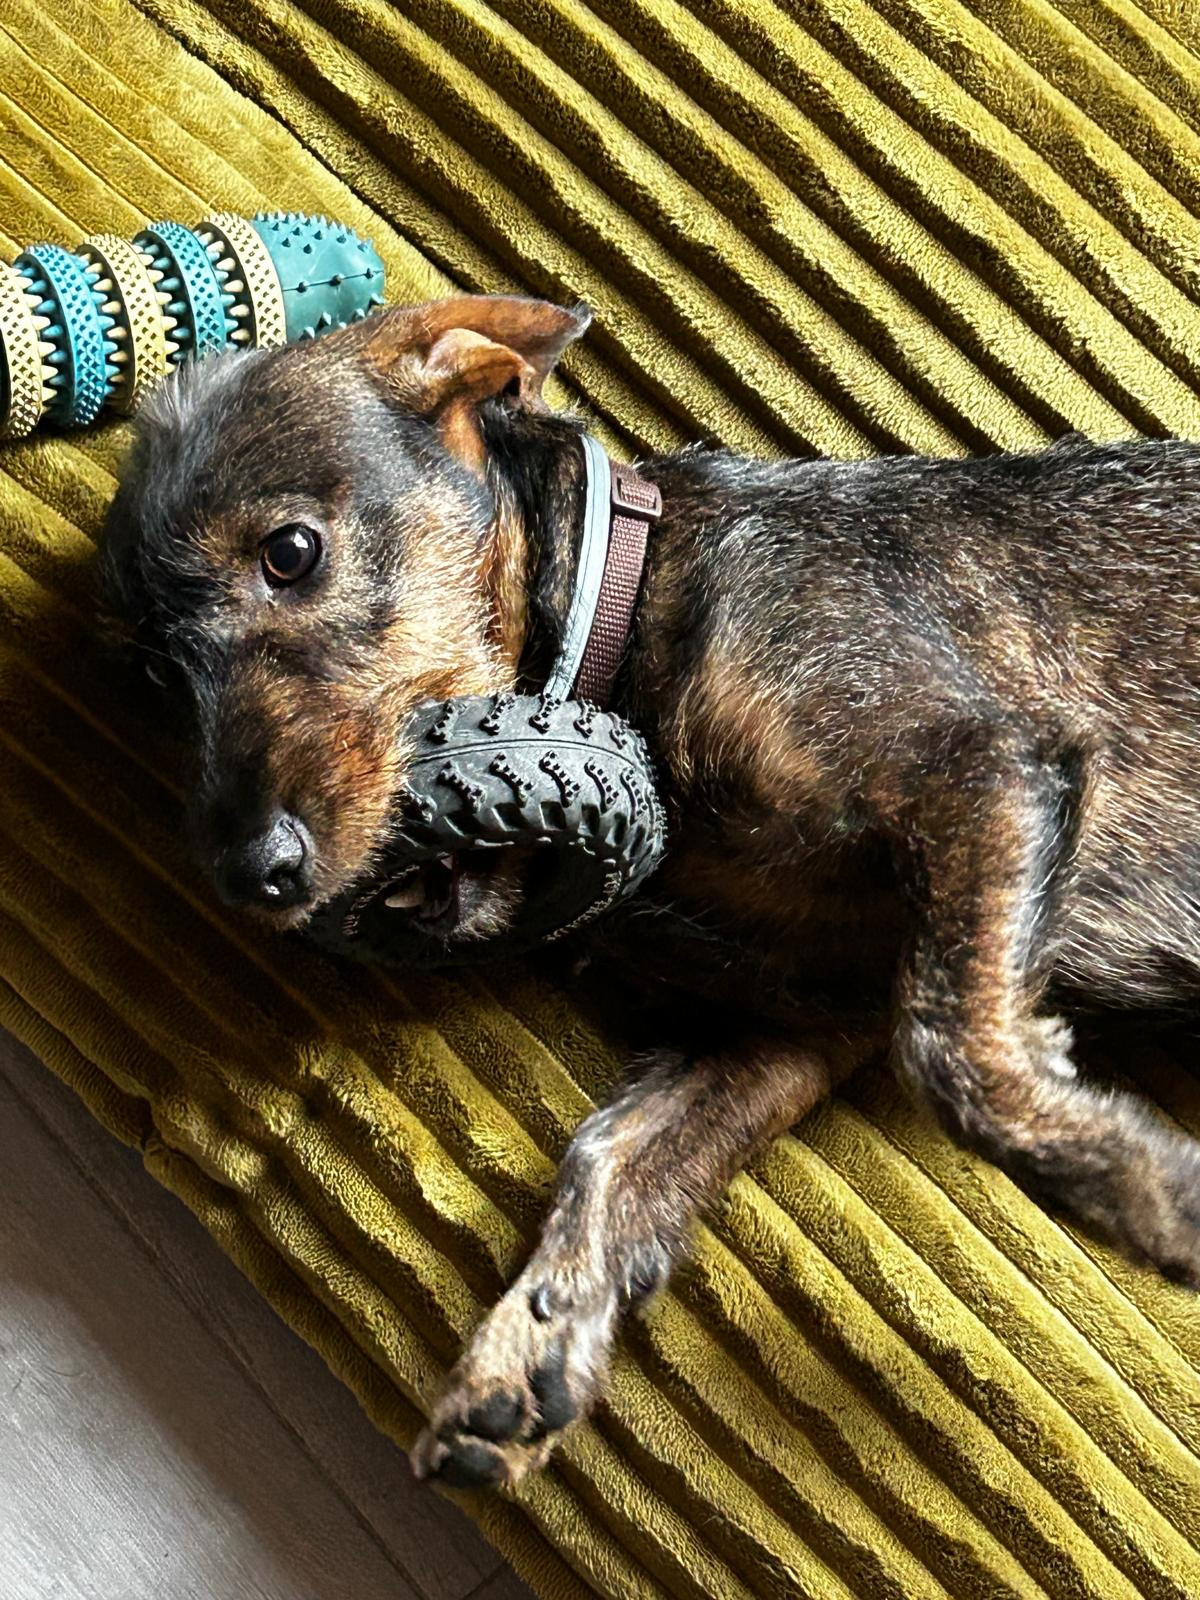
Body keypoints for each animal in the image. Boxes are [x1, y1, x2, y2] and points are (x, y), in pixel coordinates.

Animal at [98, 294, 1200, 1490]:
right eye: (155, 674)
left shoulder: (981, 769)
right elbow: (615, 1156)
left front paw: (1150, 1190)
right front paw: (524, 1347)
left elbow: (955, 1052)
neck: (627, 608)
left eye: (291, 553)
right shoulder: (796, 1020)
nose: (252, 875)